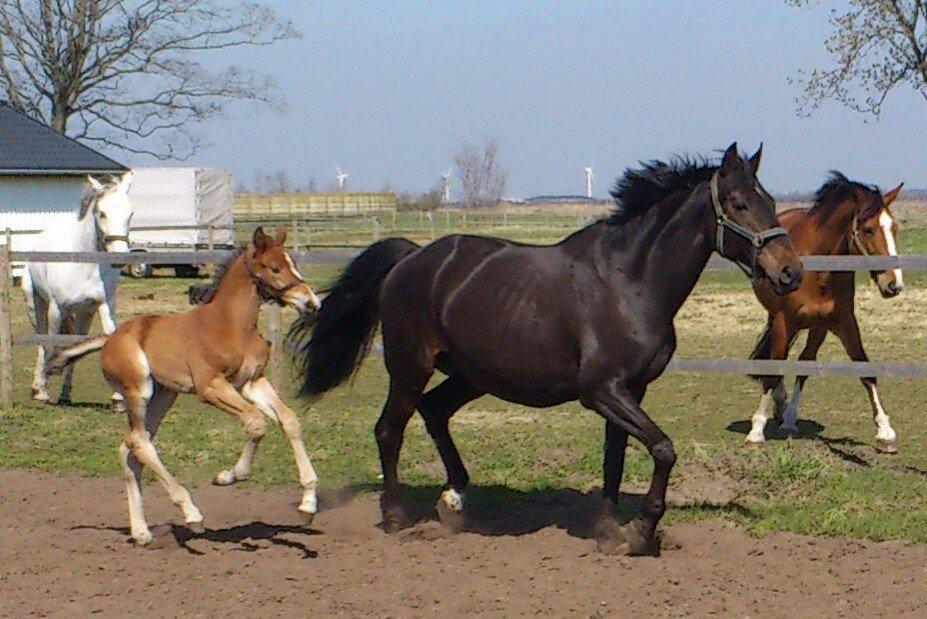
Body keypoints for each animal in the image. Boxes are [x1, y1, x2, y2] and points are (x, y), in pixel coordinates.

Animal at [22, 173, 134, 406]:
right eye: (102, 213)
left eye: (130, 214)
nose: (120, 258)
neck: (84, 264)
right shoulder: (56, 309)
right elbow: (50, 342)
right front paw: (43, 388)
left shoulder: (103, 305)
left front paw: (118, 398)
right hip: (35, 304)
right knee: (40, 339)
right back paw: (38, 388)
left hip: (84, 314)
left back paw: (64, 395)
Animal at [48, 229, 322, 548]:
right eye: (275, 268)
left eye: (293, 263)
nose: (311, 302)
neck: (232, 326)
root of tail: (109, 339)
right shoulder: (211, 387)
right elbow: (255, 423)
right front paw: (227, 476)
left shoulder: (252, 383)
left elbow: (289, 420)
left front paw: (307, 504)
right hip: (138, 390)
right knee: (139, 443)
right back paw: (191, 514)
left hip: (164, 395)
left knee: (130, 448)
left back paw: (141, 532)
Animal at [292, 145, 804, 556]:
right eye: (739, 202)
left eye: (770, 202)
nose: (790, 273)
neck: (630, 283)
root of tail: (411, 258)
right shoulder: (601, 392)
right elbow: (663, 449)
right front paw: (641, 532)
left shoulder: (629, 391)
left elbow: (615, 460)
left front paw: (608, 530)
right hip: (409, 367)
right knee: (388, 429)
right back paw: (397, 516)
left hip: (473, 375)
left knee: (433, 411)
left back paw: (453, 501)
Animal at [748, 172, 908, 452]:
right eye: (868, 229)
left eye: (894, 228)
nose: (893, 284)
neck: (817, 268)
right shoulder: (782, 322)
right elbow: (773, 367)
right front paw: (756, 429)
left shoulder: (843, 322)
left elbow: (865, 368)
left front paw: (885, 432)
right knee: (778, 358)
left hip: (816, 328)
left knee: (803, 361)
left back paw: (788, 416)